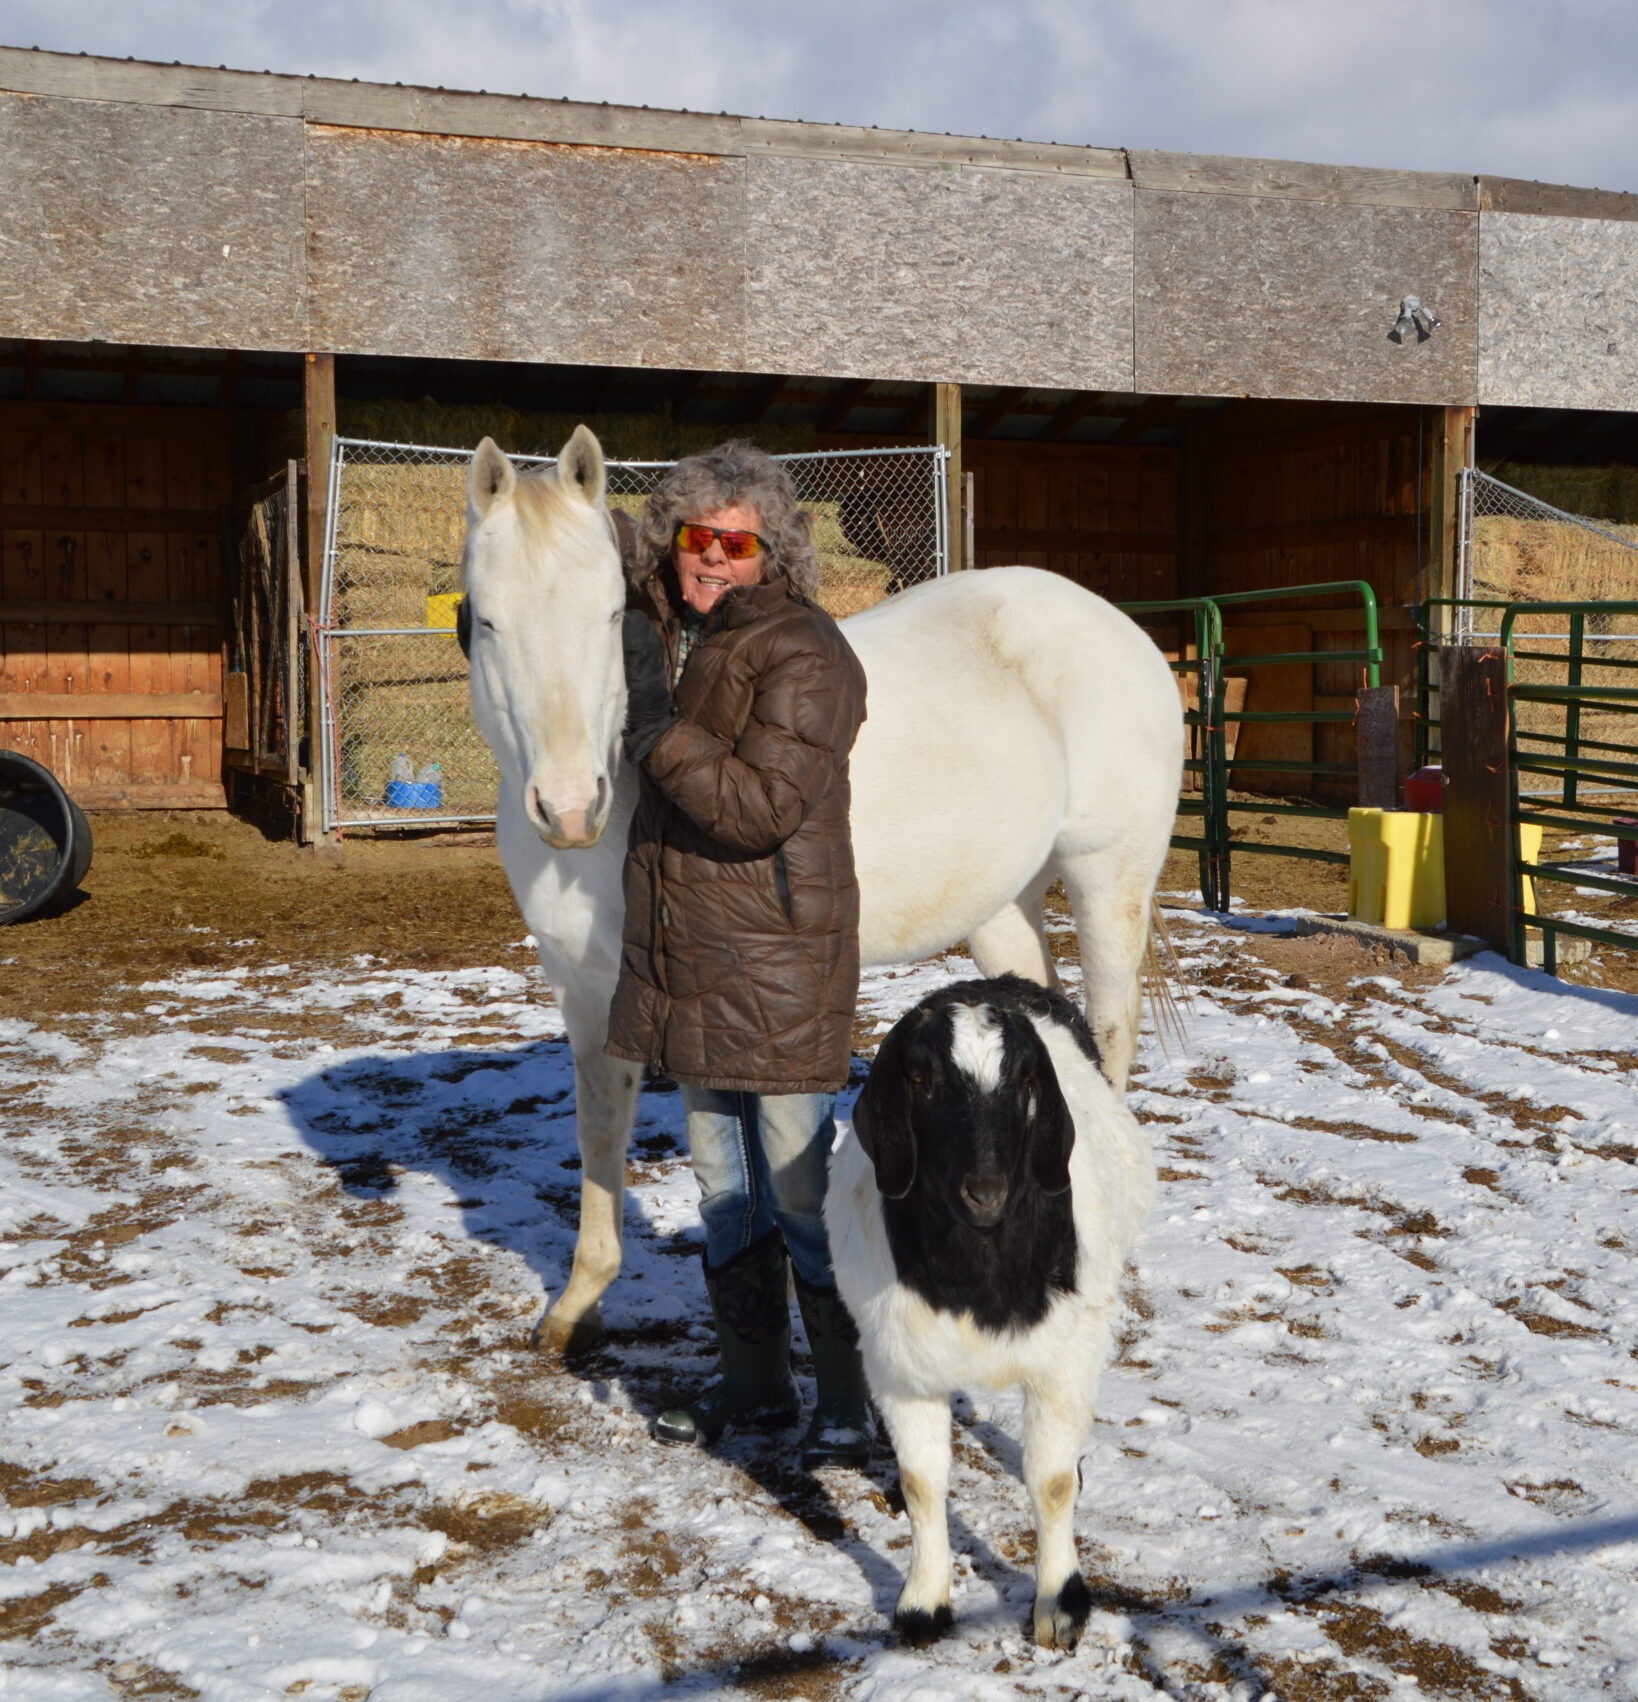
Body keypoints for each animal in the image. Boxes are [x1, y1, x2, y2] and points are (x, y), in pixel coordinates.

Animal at [462, 426, 1184, 1354]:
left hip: (1108, 879)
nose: (568, 806)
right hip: (1004, 903)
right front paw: (575, 1307)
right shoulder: (593, 993)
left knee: (1112, 1027)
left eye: (608, 618)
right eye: (487, 619)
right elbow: (601, 1135)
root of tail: (1120, 628)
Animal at [825, 974, 1155, 1649]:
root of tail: (998, 981)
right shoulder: (900, 1366)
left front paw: (1060, 1606)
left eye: (1027, 1079)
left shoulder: (1064, 1361)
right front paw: (923, 1602)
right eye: (919, 1078)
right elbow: (922, 1482)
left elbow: (1051, 1483)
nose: (986, 1192)